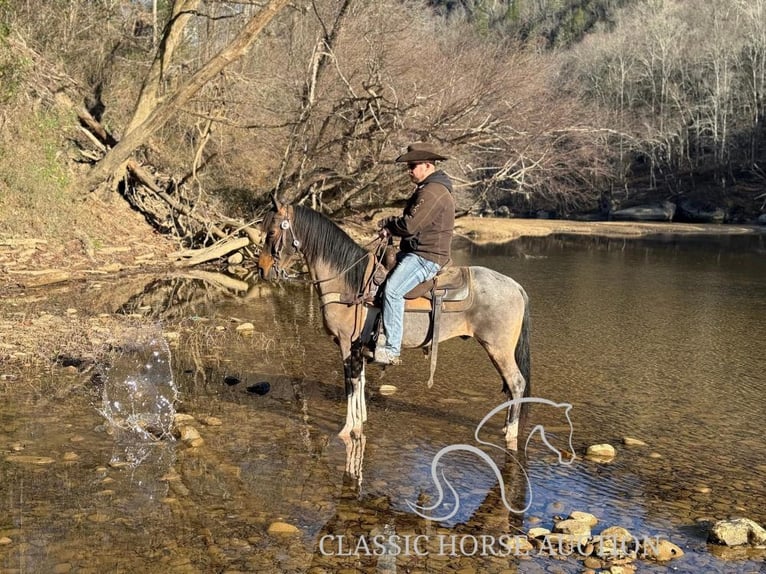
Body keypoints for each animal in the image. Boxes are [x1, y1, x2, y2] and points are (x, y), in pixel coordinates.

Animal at [258, 200, 536, 452]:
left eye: (271, 232)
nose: (261, 269)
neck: (348, 282)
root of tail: (516, 286)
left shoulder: (347, 344)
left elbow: (350, 383)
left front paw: (348, 429)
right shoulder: (360, 347)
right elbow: (360, 381)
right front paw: (361, 421)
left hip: (498, 348)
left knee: (516, 383)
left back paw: (510, 432)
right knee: (510, 386)